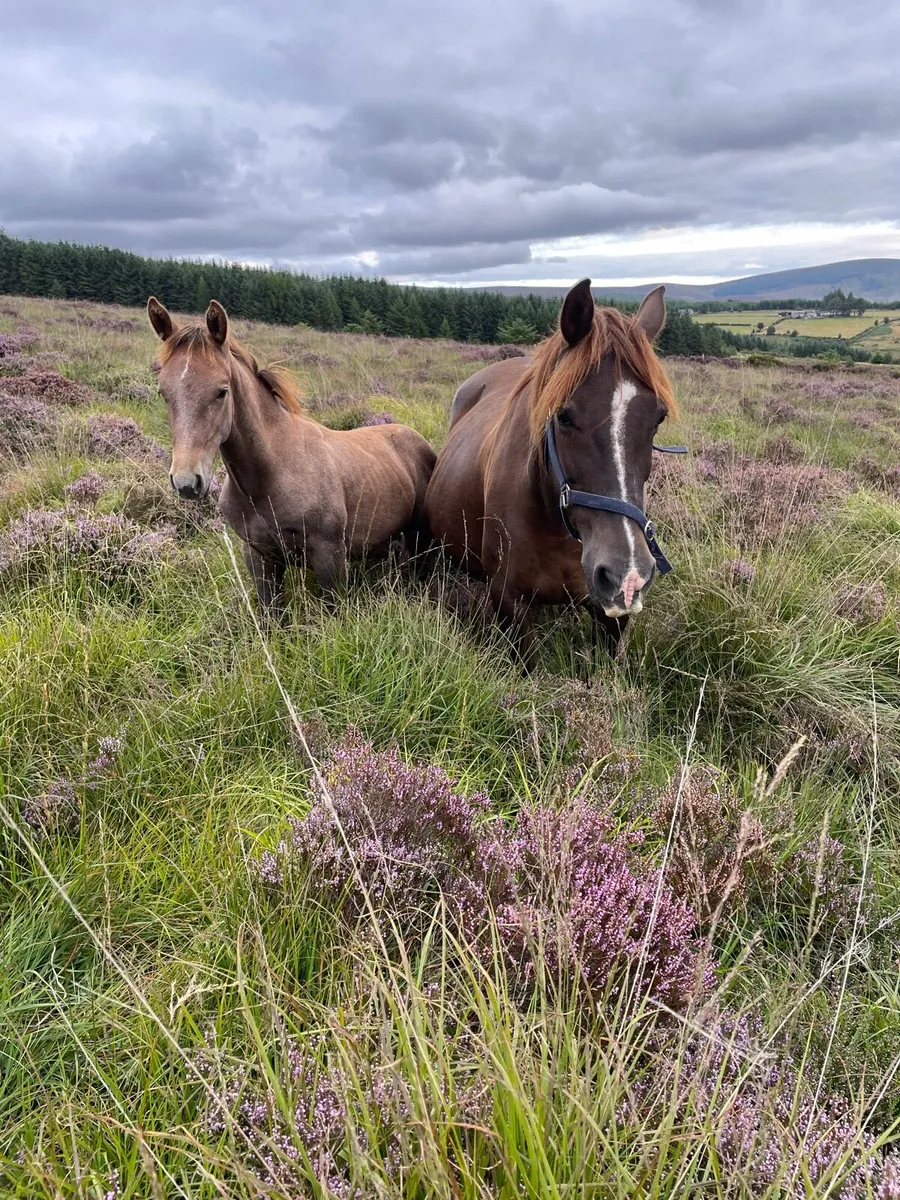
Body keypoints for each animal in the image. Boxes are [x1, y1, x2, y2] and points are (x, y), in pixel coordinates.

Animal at [147, 297, 436, 618]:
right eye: (163, 393)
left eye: (221, 392)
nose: (186, 482)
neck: (272, 474)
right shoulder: (259, 557)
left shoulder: (330, 557)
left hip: (419, 541)